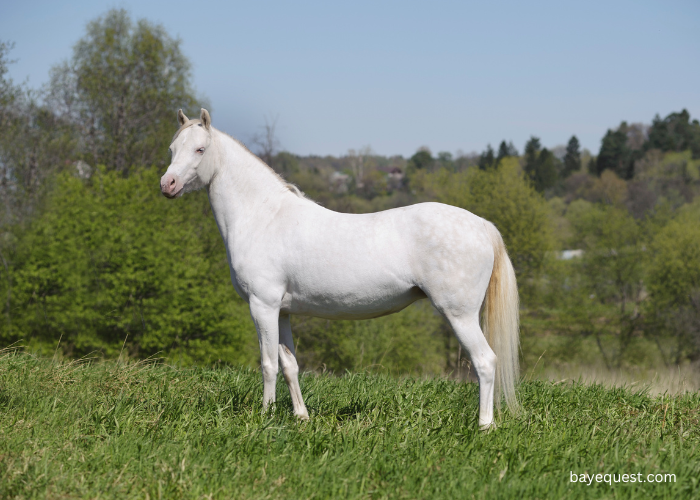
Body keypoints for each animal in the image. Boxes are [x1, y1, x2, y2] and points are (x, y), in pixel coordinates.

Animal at [160, 107, 520, 428]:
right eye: (172, 149)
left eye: (200, 149)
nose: (168, 184)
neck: (263, 216)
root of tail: (482, 225)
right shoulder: (282, 311)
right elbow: (289, 365)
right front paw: (300, 417)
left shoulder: (262, 306)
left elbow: (267, 364)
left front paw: (264, 416)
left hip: (459, 314)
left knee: (485, 362)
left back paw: (484, 425)